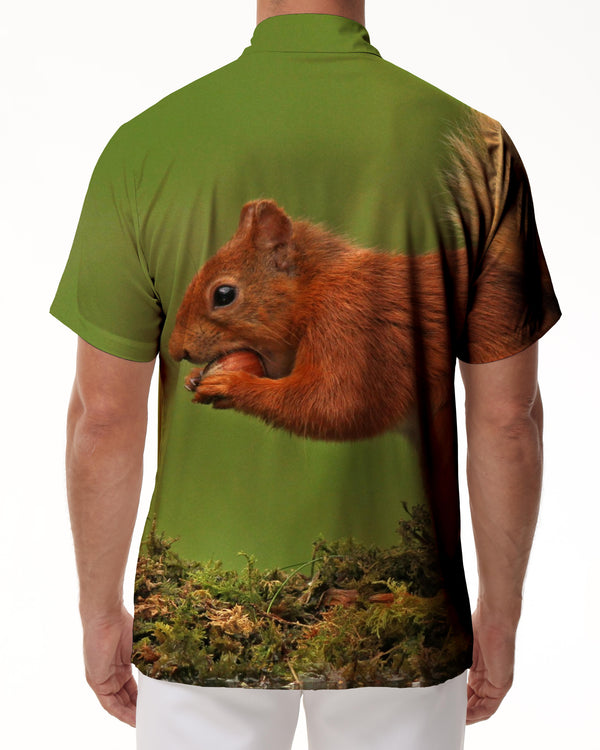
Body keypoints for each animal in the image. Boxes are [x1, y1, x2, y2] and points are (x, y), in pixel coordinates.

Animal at [168, 198, 471, 441]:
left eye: (224, 295)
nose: (175, 350)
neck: (316, 288)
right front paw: (194, 377)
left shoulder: (349, 324)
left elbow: (336, 405)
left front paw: (230, 385)